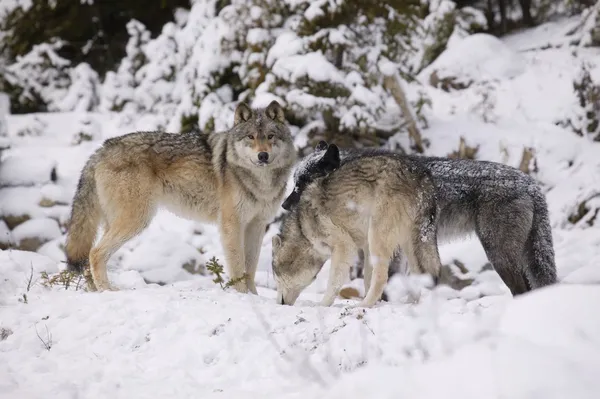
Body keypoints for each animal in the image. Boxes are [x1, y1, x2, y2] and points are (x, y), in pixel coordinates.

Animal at [270, 145, 440, 310]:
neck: (303, 228)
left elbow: (334, 283)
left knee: (382, 277)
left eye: (275, 275)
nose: (278, 304)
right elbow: (366, 279)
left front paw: (322, 306)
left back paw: (363, 305)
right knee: (419, 276)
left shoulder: (345, 247)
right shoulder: (364, 247)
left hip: (378, 238)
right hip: (409, 245)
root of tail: (423, 178)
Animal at [282, 141, 556, 300]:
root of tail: (531, 184)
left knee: (521, 289)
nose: (283, 206)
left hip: (498, 254)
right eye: (294, 182)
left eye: (301, 185)